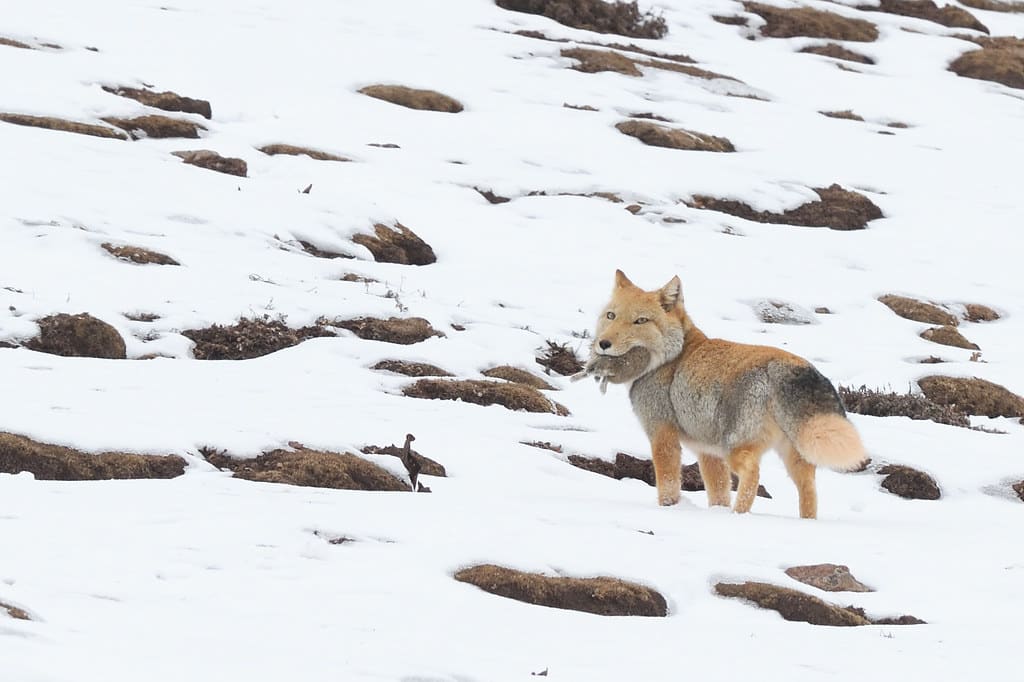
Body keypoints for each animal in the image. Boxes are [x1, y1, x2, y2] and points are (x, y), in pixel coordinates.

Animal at [580, 270, 866, 519]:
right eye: (611, 315)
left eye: (640, 321)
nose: (603, 344)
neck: (672, 358)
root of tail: (789, 365)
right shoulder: (708, 452)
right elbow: (717, 493)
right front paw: (715, 513)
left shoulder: (662, 434)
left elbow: (669, 485)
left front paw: (669, 510)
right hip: (794, 458)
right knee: (809, 492)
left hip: (737, 448)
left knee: (753, 475)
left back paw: (739, 515)